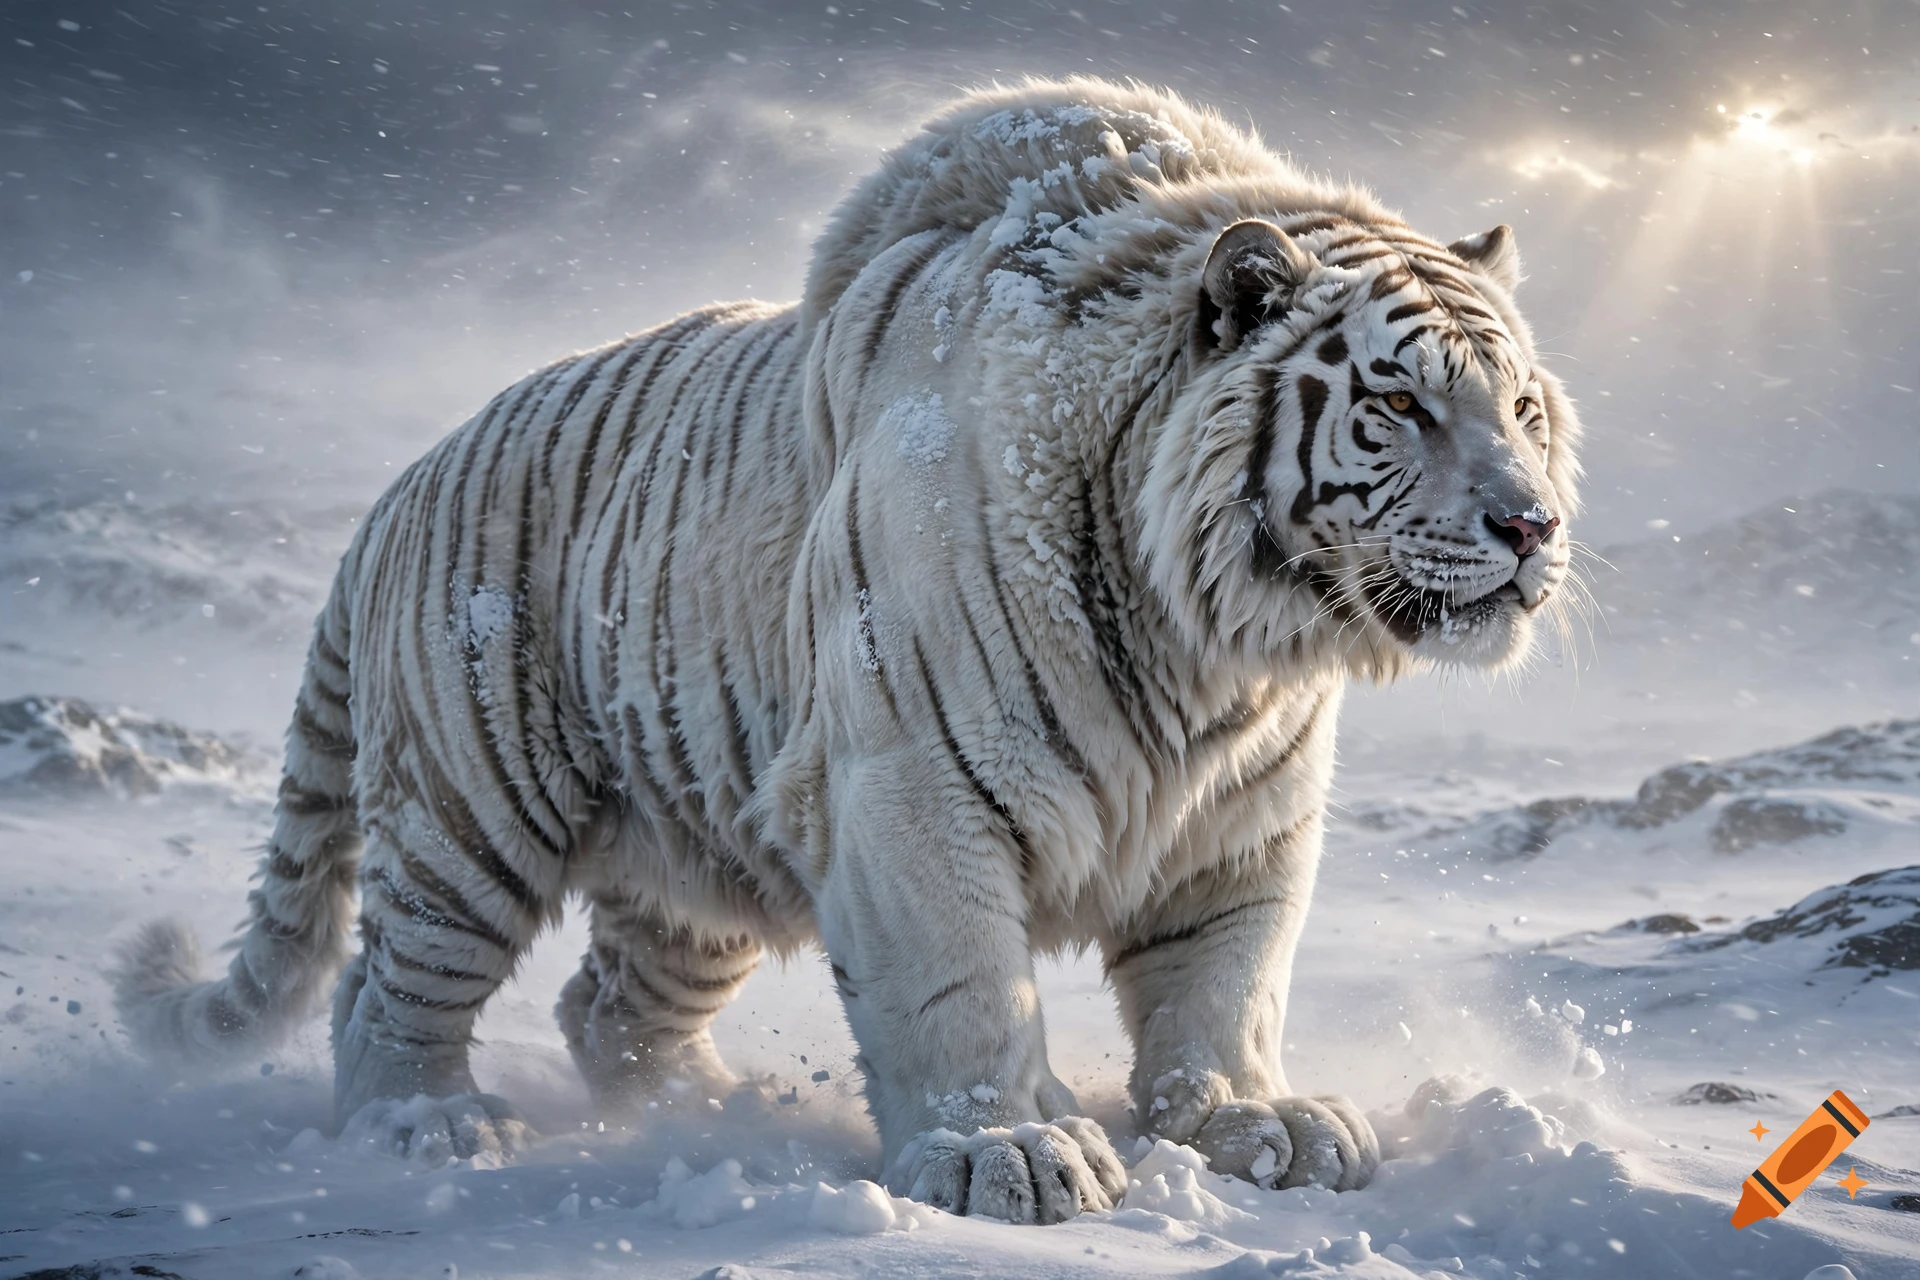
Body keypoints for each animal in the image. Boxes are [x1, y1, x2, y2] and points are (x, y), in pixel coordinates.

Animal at [113, 77, 1581, 1224]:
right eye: (1400, 405)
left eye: (1520, 406)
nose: (1532, 523)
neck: (1220, 640)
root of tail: (399, 485)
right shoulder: (917, 777)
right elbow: (960, 980)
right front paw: (1011, 1150)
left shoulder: (1242, 817)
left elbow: (1226, 983)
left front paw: (1254, 1124)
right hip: (470, 804)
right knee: (388, 984)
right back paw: (424, 1128)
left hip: (697, 839)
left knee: (611, 1001)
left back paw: (705, 1113)